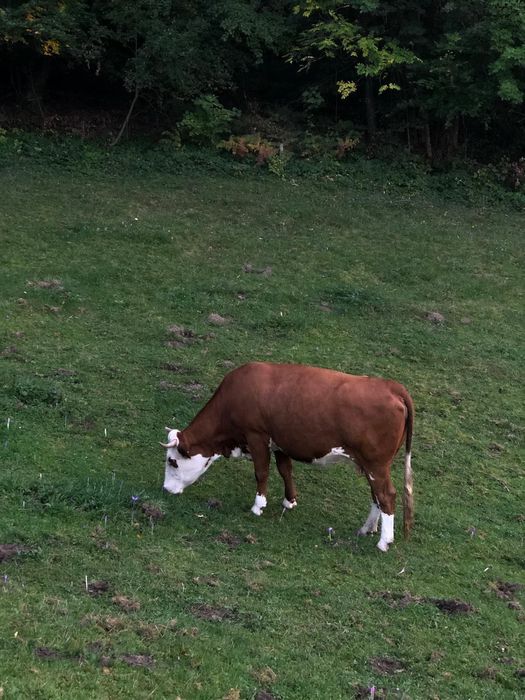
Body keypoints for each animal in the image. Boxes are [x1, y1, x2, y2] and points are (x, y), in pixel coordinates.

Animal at [161, 361, 414, 552]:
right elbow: (285, 469)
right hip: (370, 464)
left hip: (376, 464)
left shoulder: (256, 436)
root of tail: (391, 387)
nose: (165, 489)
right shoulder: (280, 442)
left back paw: (384, 541)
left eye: (172, 461)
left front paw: (258, 506)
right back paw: (367, 529)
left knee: (386, 495)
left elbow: (261, 472)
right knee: (376, 495)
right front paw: (289, 501)